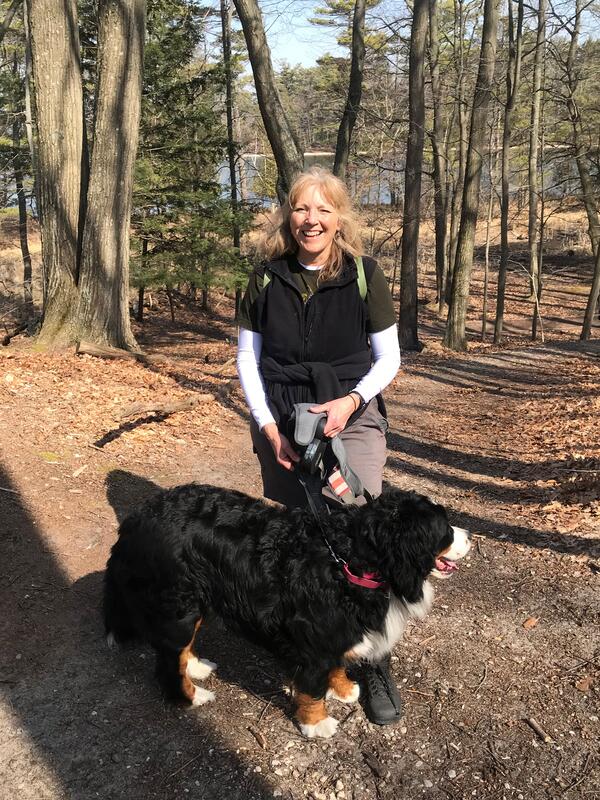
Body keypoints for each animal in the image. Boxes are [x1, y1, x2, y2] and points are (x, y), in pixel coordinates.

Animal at [103, 482, 472, 736]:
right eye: (445, 529)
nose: (470, 537)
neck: (350, 560)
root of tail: (136, 519)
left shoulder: (338, 629)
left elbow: (336, 665)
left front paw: (343, 688)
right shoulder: (314, 637)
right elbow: (311, 688)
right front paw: (317, 724)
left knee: (181, 650)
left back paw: (196, 666)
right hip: (177, 606)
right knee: (168, 663)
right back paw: (192, 696)